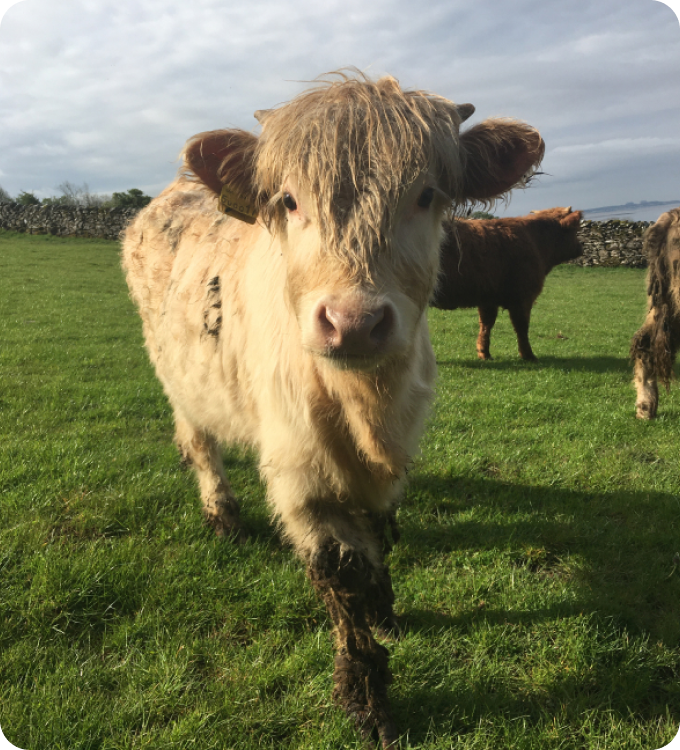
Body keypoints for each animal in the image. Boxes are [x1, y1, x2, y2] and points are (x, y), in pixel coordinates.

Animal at [432, 209, 580, 362]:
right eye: (575, 230)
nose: (580, 248)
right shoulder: (522, 298)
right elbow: (522, 327)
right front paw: (528, 355)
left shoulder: (488, 300)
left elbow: (486, 325)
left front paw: (484, 353)